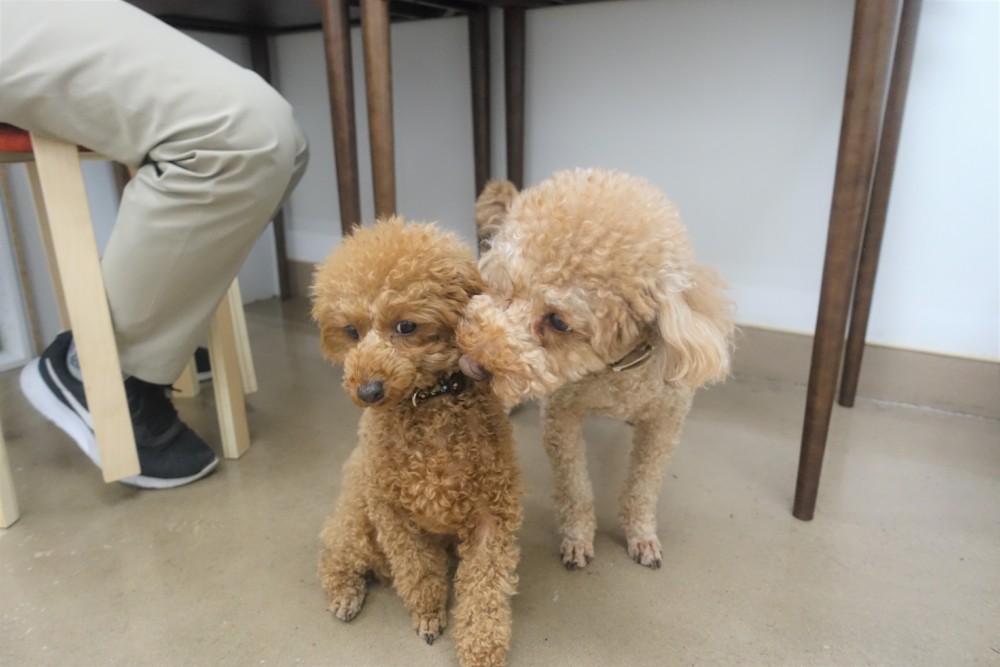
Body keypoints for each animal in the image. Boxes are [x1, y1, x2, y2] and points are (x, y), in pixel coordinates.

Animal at [312, 218, 522, 667]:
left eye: (406, 326)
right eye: (351, 332)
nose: (368, 390)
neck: (428, 402)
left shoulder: (491, 515)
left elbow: (484, 589)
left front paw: (482, 649)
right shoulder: (393, 514)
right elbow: (417, 570)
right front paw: (428, 613)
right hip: (356, 520)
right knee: (334, 554)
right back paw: (345, 592)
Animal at [457, 168, 734, 570]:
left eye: (558, 321)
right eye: (503, 286)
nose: (471, 365)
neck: (615, 372)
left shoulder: (665, 422)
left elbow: (643, 486)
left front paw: (641, 535)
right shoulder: (561, 417)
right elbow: (575, 487)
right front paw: (577, 538)